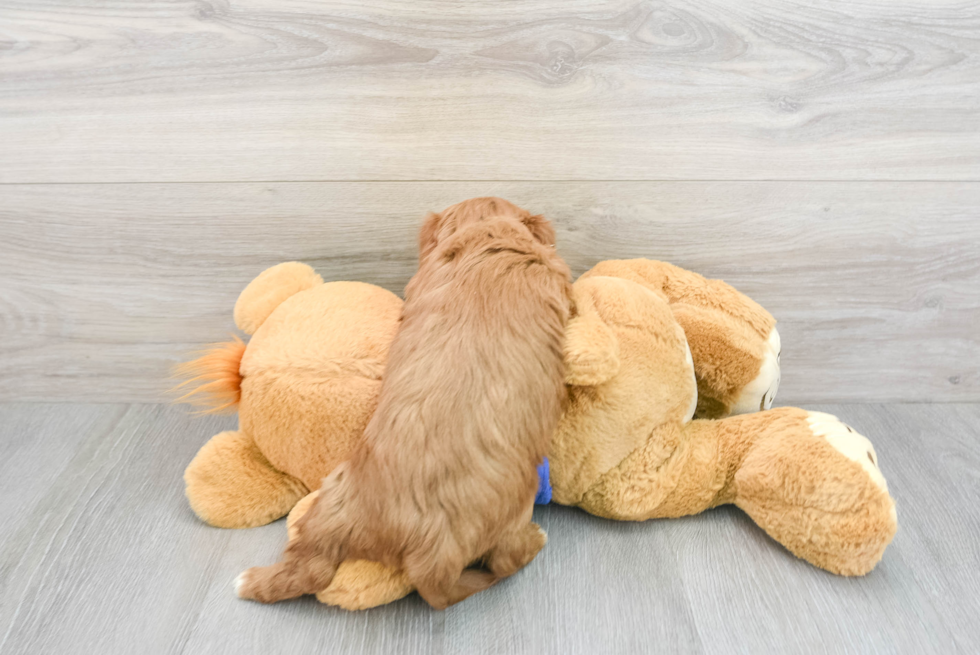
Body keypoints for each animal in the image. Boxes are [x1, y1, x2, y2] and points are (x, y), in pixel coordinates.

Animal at [238, 197, 576, 612]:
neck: (484, 235)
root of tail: (427, 558)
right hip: (515, 509)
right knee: (504, 561)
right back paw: (536, 539)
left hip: (332, 494)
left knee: (309, 568)